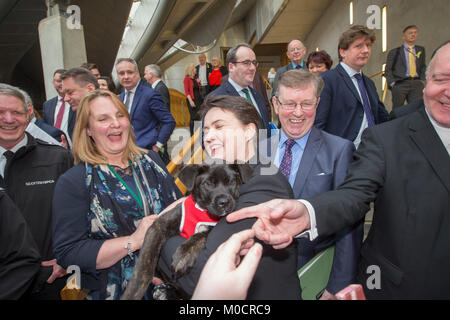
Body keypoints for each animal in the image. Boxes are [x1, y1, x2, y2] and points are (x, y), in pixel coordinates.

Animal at [119, 162, 253, 300]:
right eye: (208, 183)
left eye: (232, 181)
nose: (224, 202)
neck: (202, 211)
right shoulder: (158, 226)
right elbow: (145, 264)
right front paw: (132, 293)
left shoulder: (210, 228)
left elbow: (200, 235)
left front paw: (183, 255)